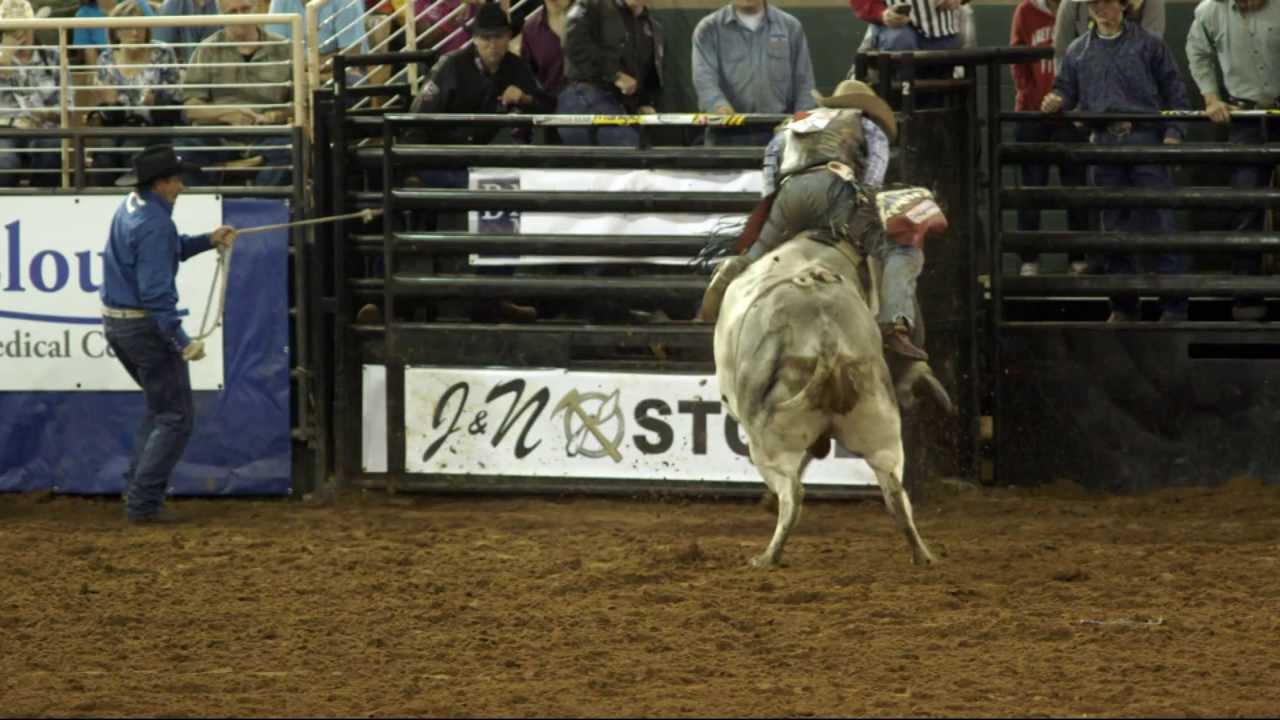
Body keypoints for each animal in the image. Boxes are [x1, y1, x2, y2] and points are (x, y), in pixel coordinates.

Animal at [714, 228, 937, 568]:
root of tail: (826, 336)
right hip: (880, 428)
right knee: (895, 492)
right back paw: (922, 554)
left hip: (770, 444)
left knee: (792, 494)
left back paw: (768, 556)